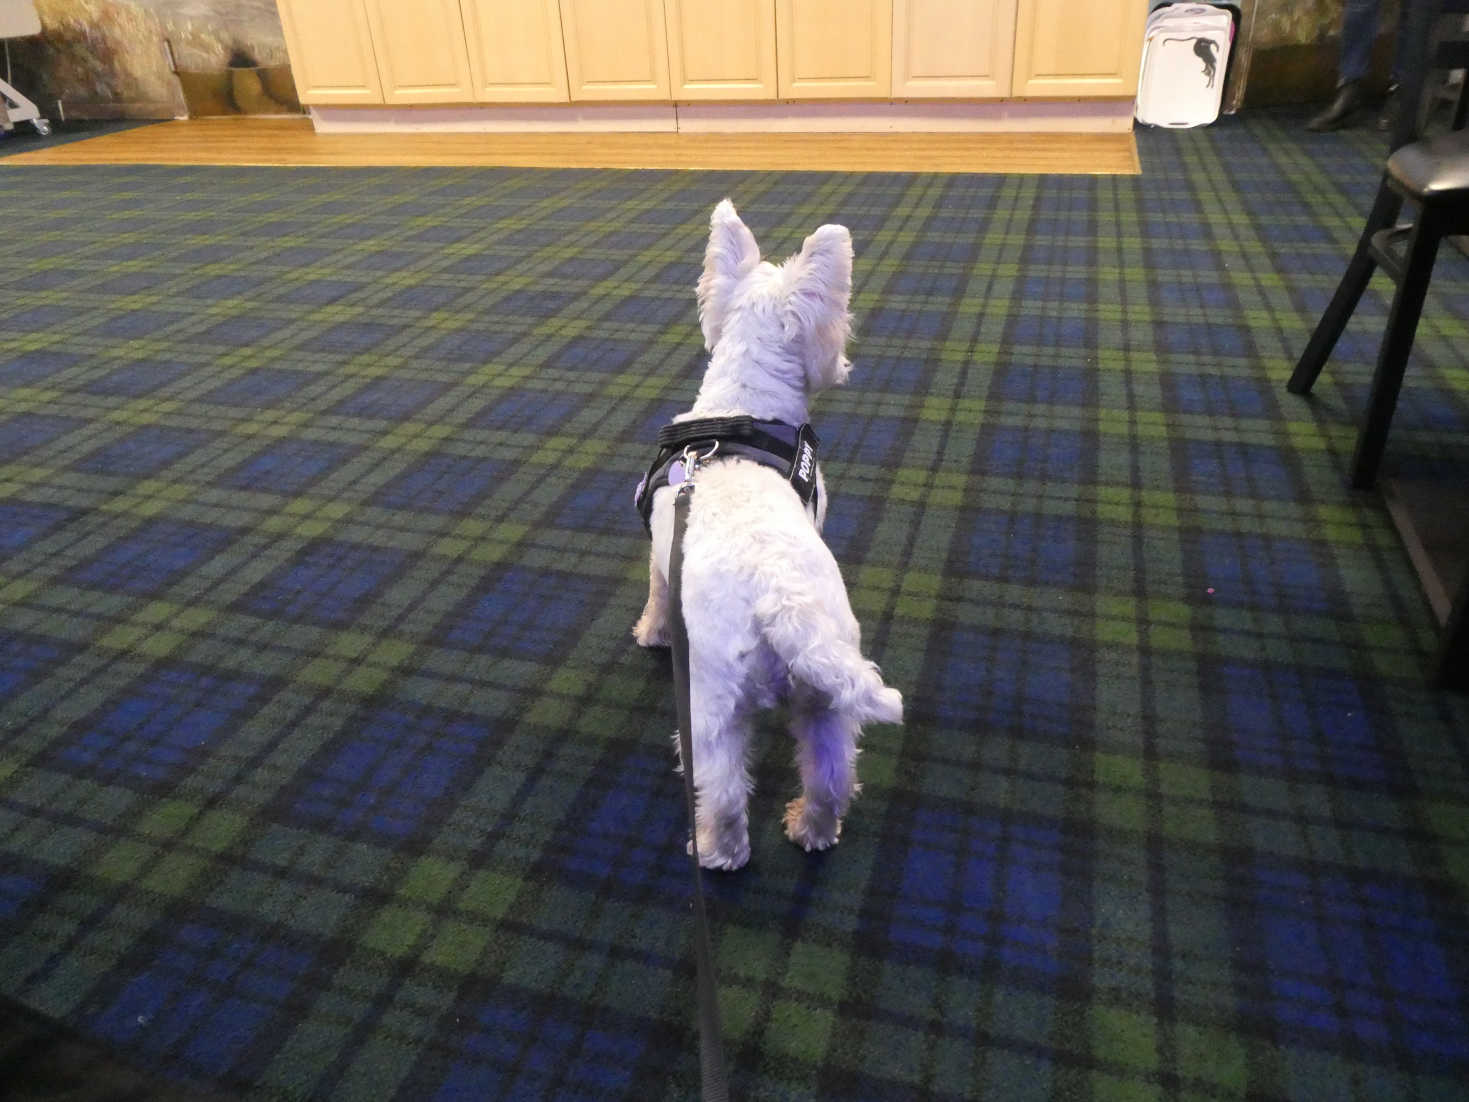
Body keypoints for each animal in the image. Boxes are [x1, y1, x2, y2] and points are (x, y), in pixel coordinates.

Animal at [634, 198, 899, 869]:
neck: (743, 405)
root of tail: (783, 605)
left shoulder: (659, 559)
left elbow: (654, 594)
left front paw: (650, 633)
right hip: (828, 702)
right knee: (831, 778)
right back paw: (810, 829)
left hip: (712, 705)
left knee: (724, 792)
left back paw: (714, 851)